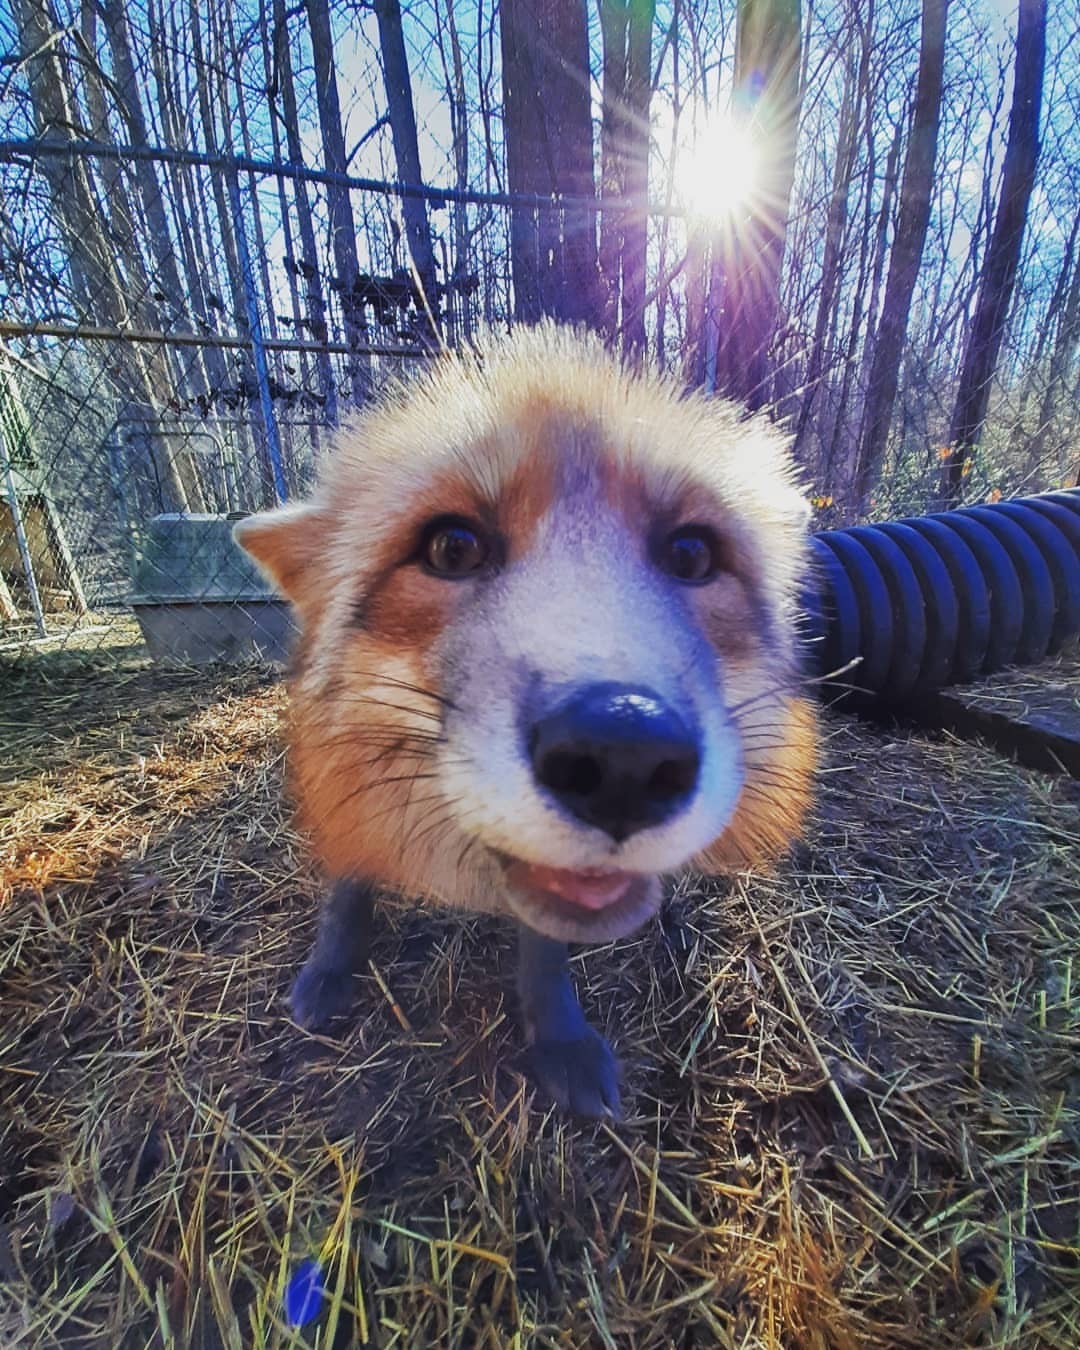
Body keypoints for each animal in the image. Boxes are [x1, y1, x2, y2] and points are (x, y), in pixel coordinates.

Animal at [233, 324, 810, 1117]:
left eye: (692, 554)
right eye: (452, 547)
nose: (624, 753)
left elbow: (542, 954)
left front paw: (558, 1039)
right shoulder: (337, 772)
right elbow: (348, 879)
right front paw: (332, 968)